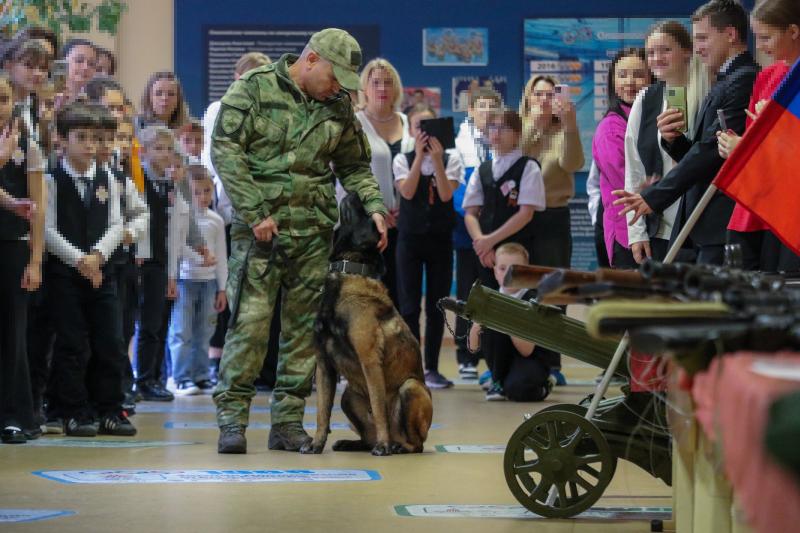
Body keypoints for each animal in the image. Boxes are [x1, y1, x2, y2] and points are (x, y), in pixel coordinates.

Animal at [300, 193, 434, 456]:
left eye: (369, 220)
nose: (354, 193)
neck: (347, 271)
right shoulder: (324, 365)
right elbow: (322, 412)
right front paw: (317, 443)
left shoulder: (370, 360)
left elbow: (379, 407)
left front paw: (383, 446)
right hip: (348, 396)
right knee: (366, 437)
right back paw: (354, 443)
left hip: (411, 387)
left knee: (416, 444)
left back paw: (394, 445)